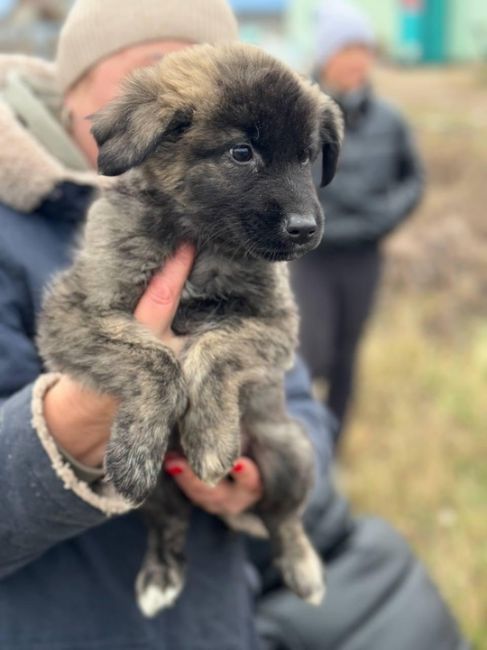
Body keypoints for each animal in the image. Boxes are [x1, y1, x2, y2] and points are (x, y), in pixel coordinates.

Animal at [38, 43, 344, 616]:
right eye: (242, 153)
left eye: (307, 157)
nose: (306, 230)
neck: (200, 237)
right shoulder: (73, 310)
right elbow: (155, 358)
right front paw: (138, 445)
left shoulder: (275, 325)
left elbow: (217, 346)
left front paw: (211, 437)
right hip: (152, 490)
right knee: (171, 522)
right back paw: (161, 573)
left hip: (289, 451)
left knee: (283, 517)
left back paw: (302, 567)